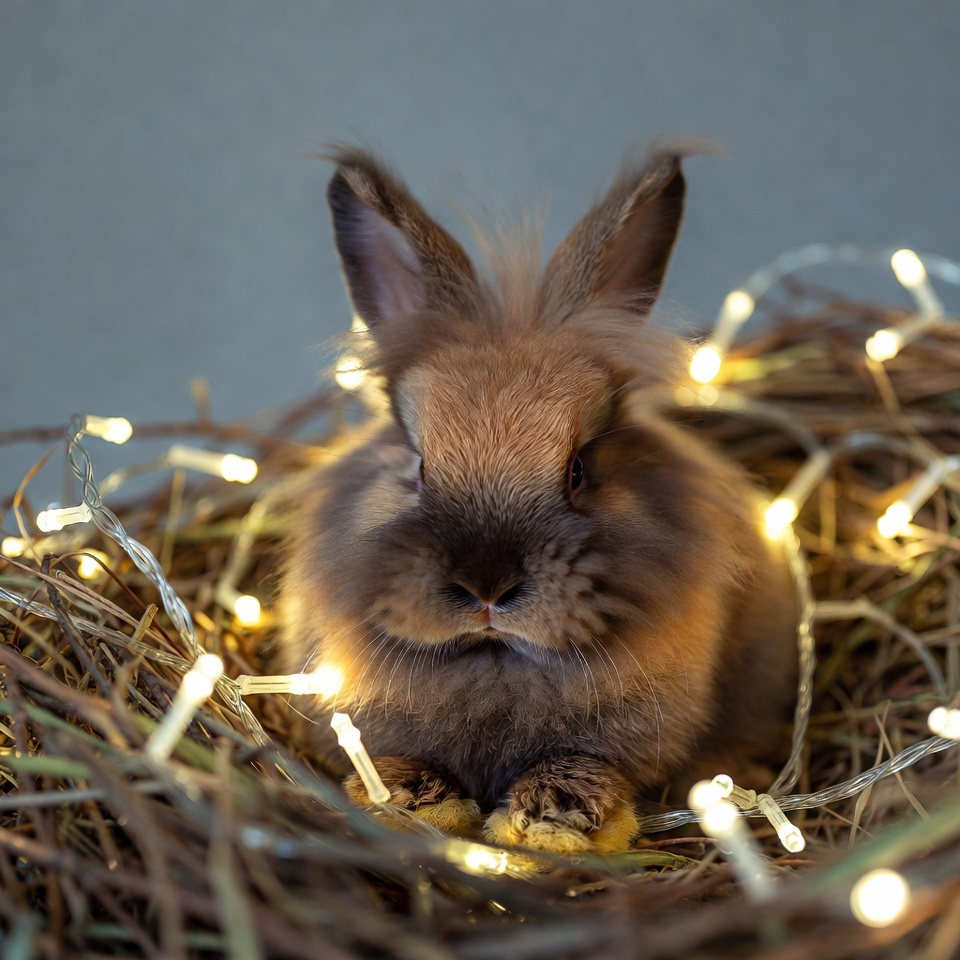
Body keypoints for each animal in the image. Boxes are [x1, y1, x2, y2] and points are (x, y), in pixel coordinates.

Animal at [279, 145, 799, 855]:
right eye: (417, 464)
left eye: (580, 469)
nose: (487, 588)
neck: (496, 664)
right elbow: (394, 765)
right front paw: (410, 803)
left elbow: (579, 767)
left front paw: (548, 822)